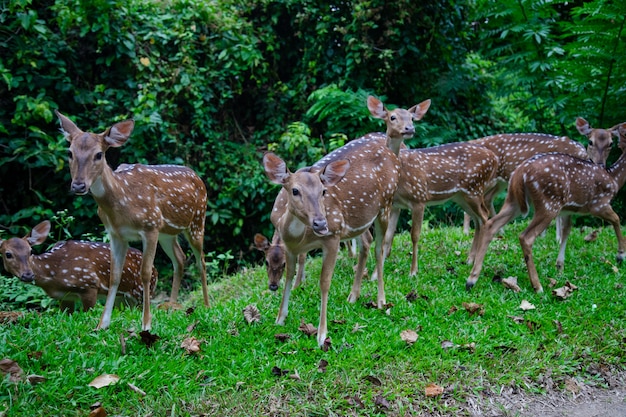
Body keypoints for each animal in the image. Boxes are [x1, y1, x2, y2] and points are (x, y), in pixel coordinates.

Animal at [0, 219, 156, 310]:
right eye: (8, 254)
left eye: (31, 251)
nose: (28, 275)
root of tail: (156, 270)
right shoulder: (65, 297)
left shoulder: (89, 284)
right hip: (122, 298)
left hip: (143, 292)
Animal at [55, 111, 210, 332]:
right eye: (70, 153)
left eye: (99, 154)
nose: (78, 185)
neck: (122, 202)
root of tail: (197, 176)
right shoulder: (116, 234)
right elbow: (114, 276)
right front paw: (102, 324)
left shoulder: (150, 226)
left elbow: (145, 273)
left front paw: (146, 324)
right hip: (167, 232)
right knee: (180, 258)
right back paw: (172, 307)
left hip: (197, 220)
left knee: (201, 260)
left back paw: (206, 305)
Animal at [464, 122, 624, 290]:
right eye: (590, 141)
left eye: (611, 143)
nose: (601, 164)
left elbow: (566, 224)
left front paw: (554, 244)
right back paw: (469, 248)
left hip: (503, 185)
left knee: (487, 206)